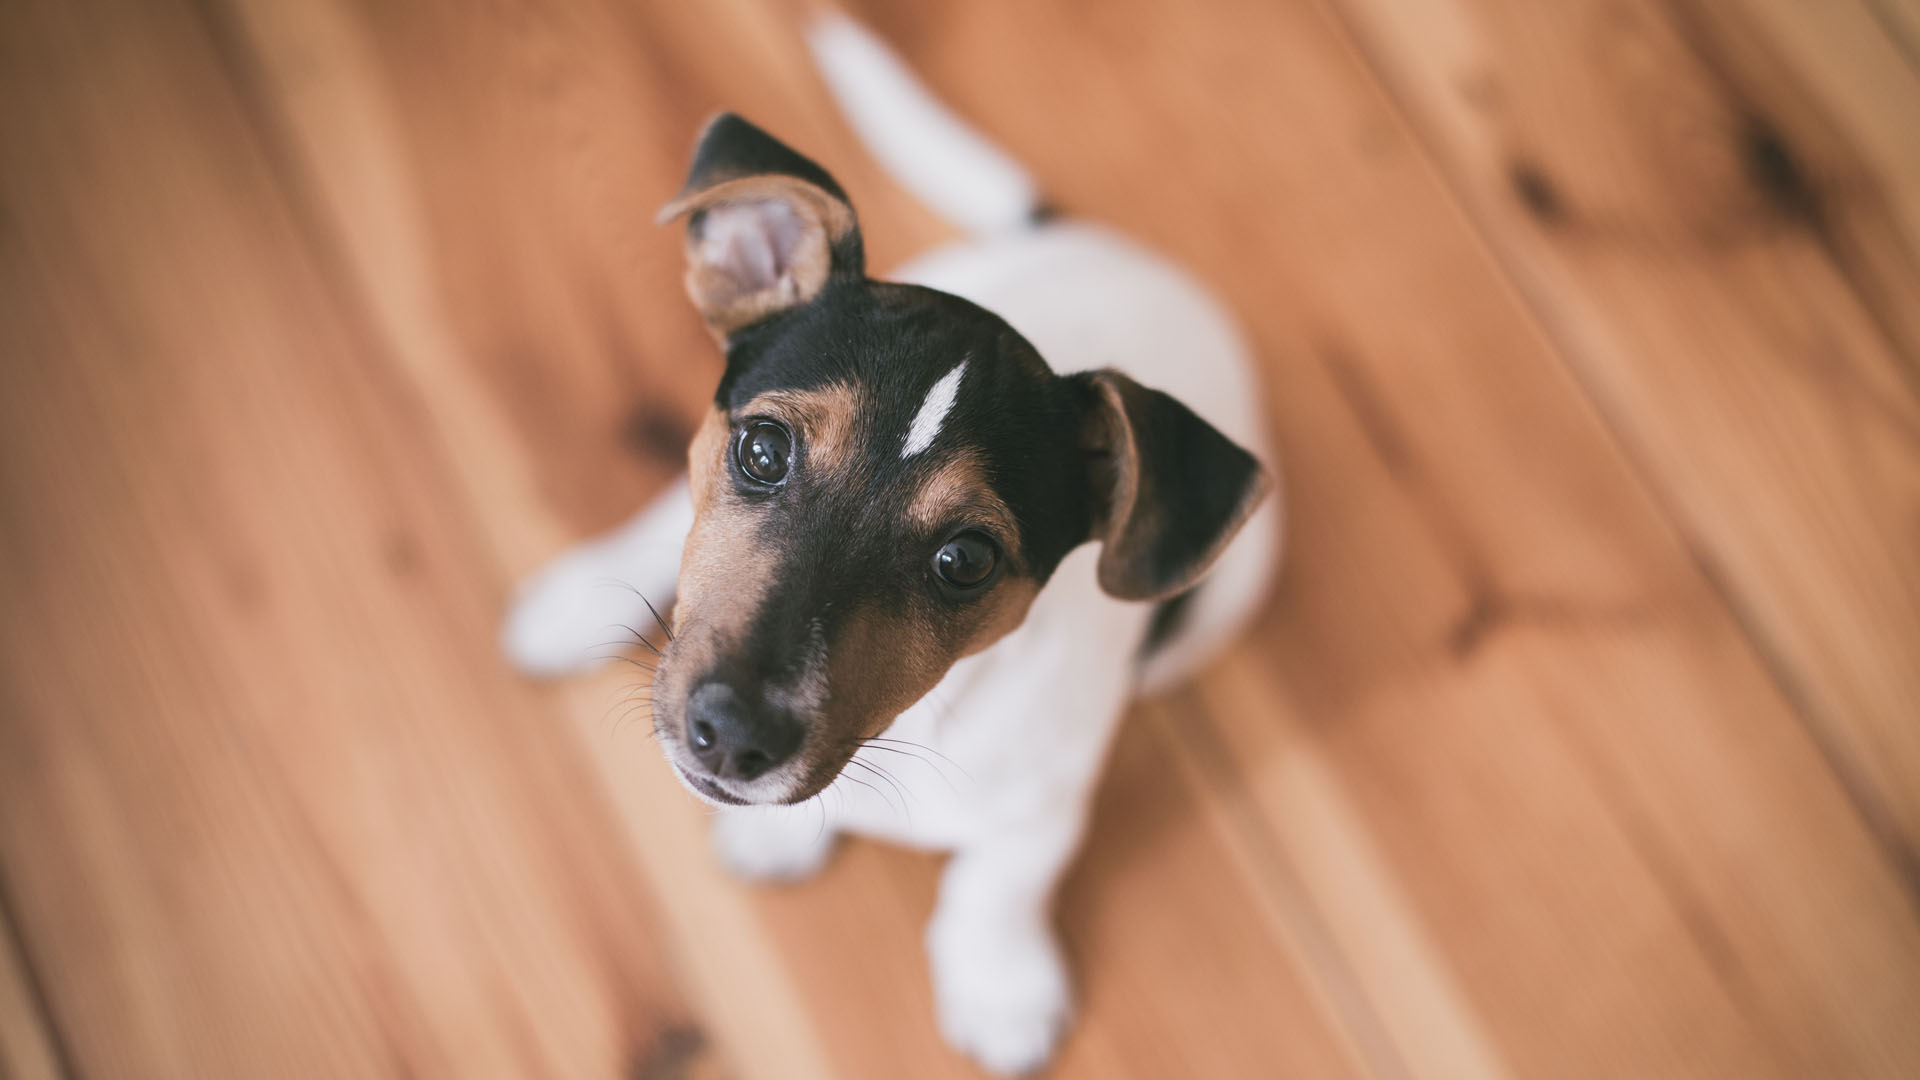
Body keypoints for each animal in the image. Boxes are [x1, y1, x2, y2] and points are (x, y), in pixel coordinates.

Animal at [503, 14, 1282, 1068]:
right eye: (762, 449)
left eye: (965, 560)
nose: (733, 737)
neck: (919, 725)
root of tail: (1111, 247)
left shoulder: (1045, 801)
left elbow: (999, 882)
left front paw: (998, 983)